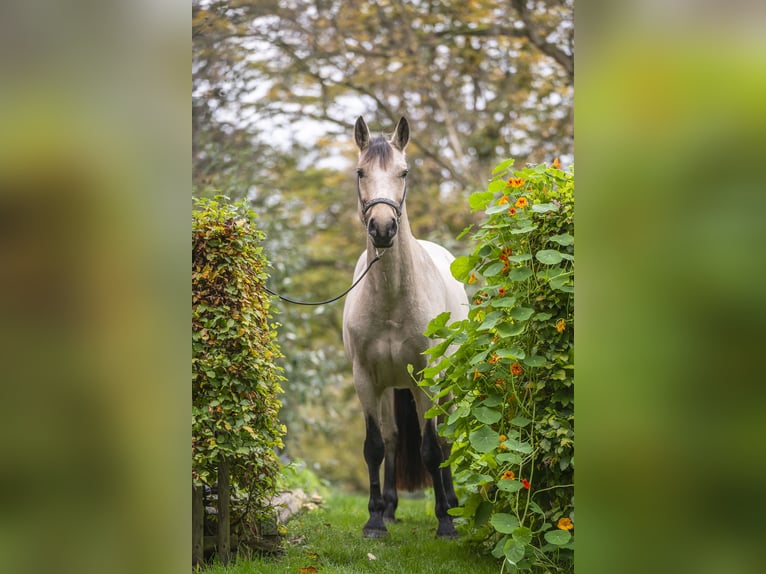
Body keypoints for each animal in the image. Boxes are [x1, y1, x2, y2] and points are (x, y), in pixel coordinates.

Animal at [344, 117, 472, 540]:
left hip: (443, 384)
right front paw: (374, 520)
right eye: (360, 172)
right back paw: (389, 509)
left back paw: (452, 504)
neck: (391, 299)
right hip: (392, 387)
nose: (383, 228)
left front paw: (445, 523)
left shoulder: (427, 379)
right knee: (394, 439)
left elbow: (431, 449)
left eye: (403, 172)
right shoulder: (366, 380)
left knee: (445, 440)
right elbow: (375, 446)